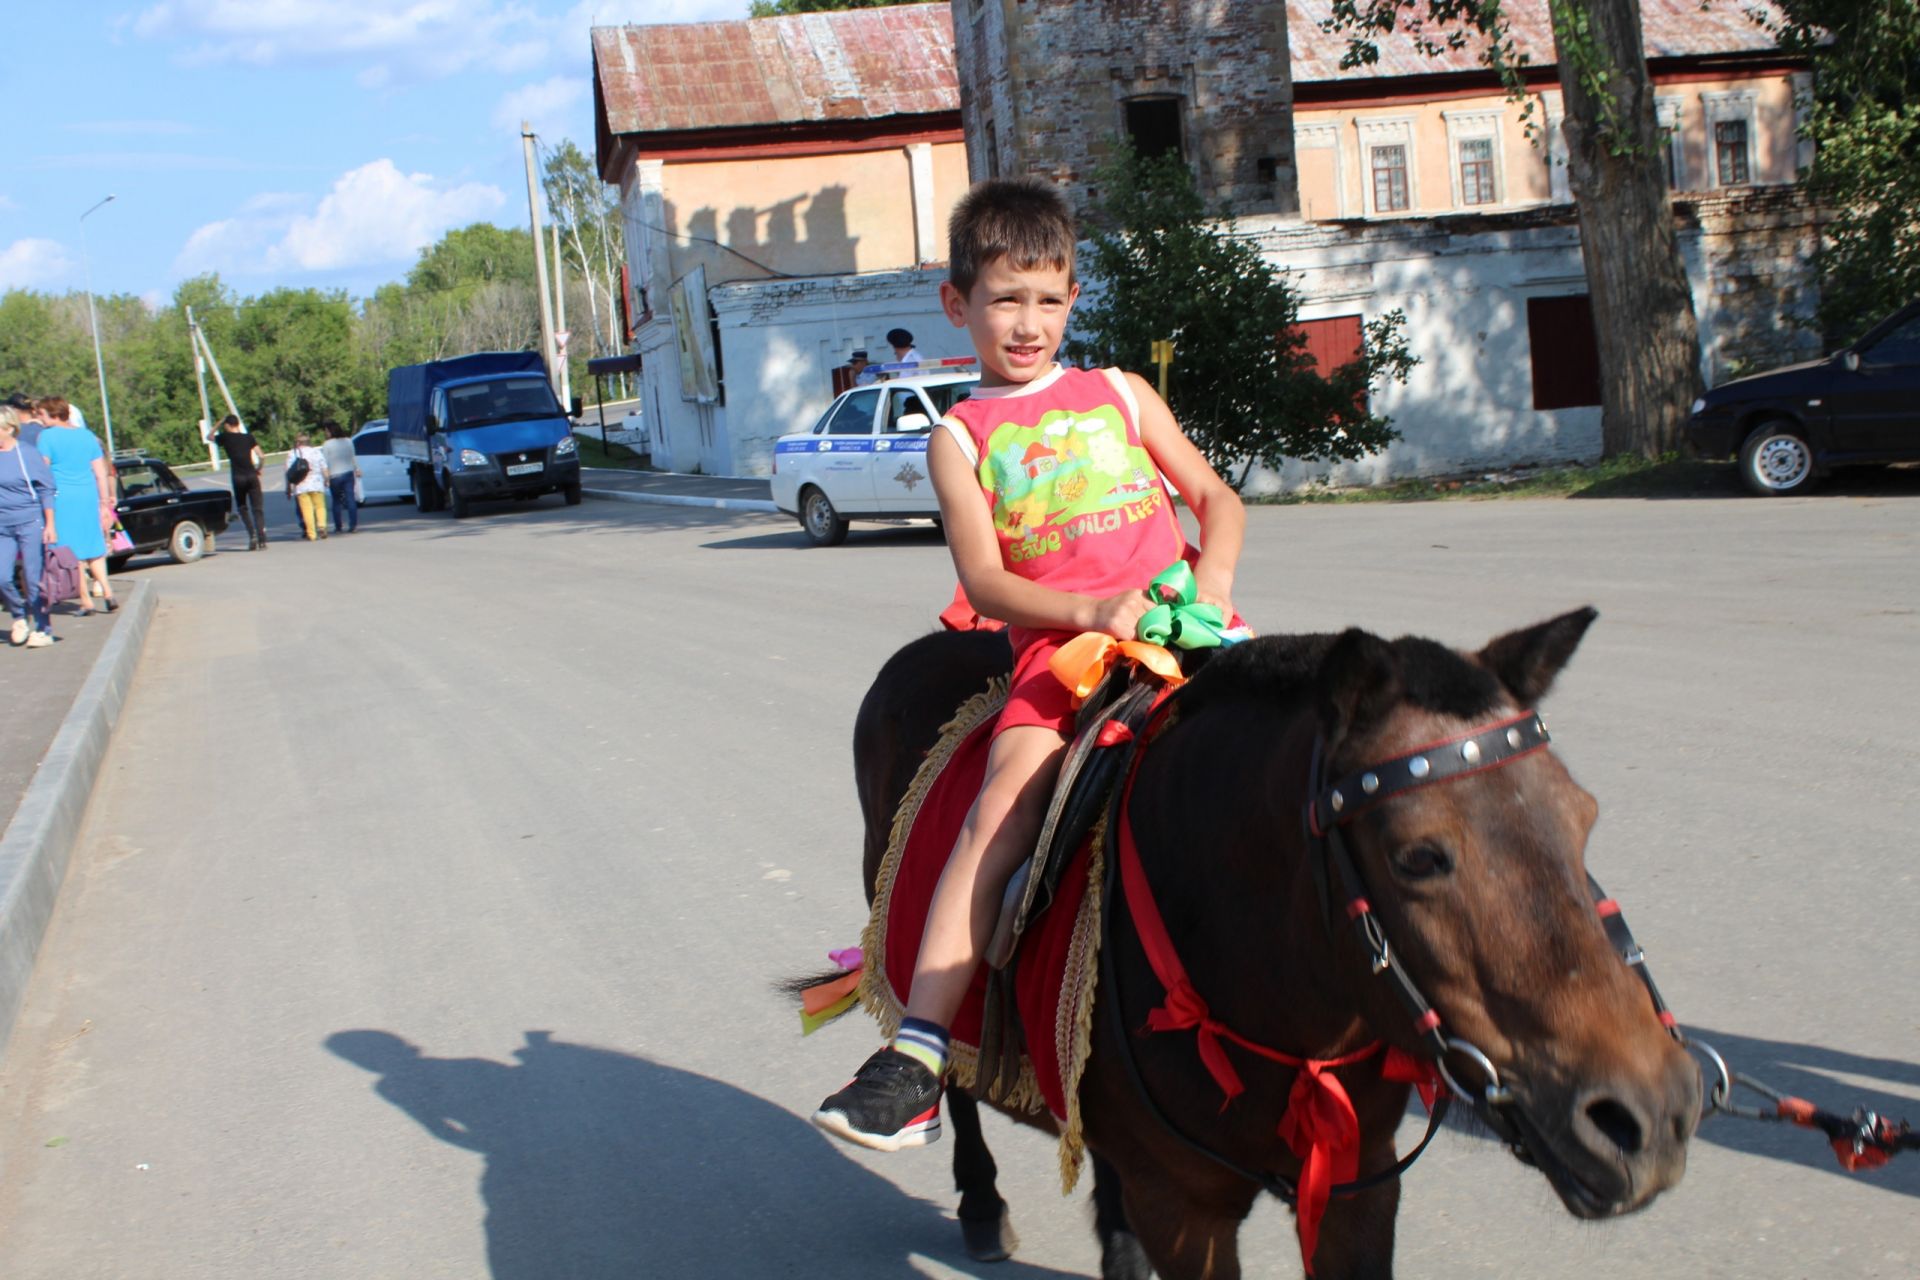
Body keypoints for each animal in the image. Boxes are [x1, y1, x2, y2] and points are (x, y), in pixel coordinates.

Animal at [852, 614, 1697, 1280]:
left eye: (1583, 817)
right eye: (1418, 857)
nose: (1653, 1116)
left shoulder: (1362, 1184)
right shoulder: (1185, 1211)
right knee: (955, 1077)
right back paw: (976, 1195)